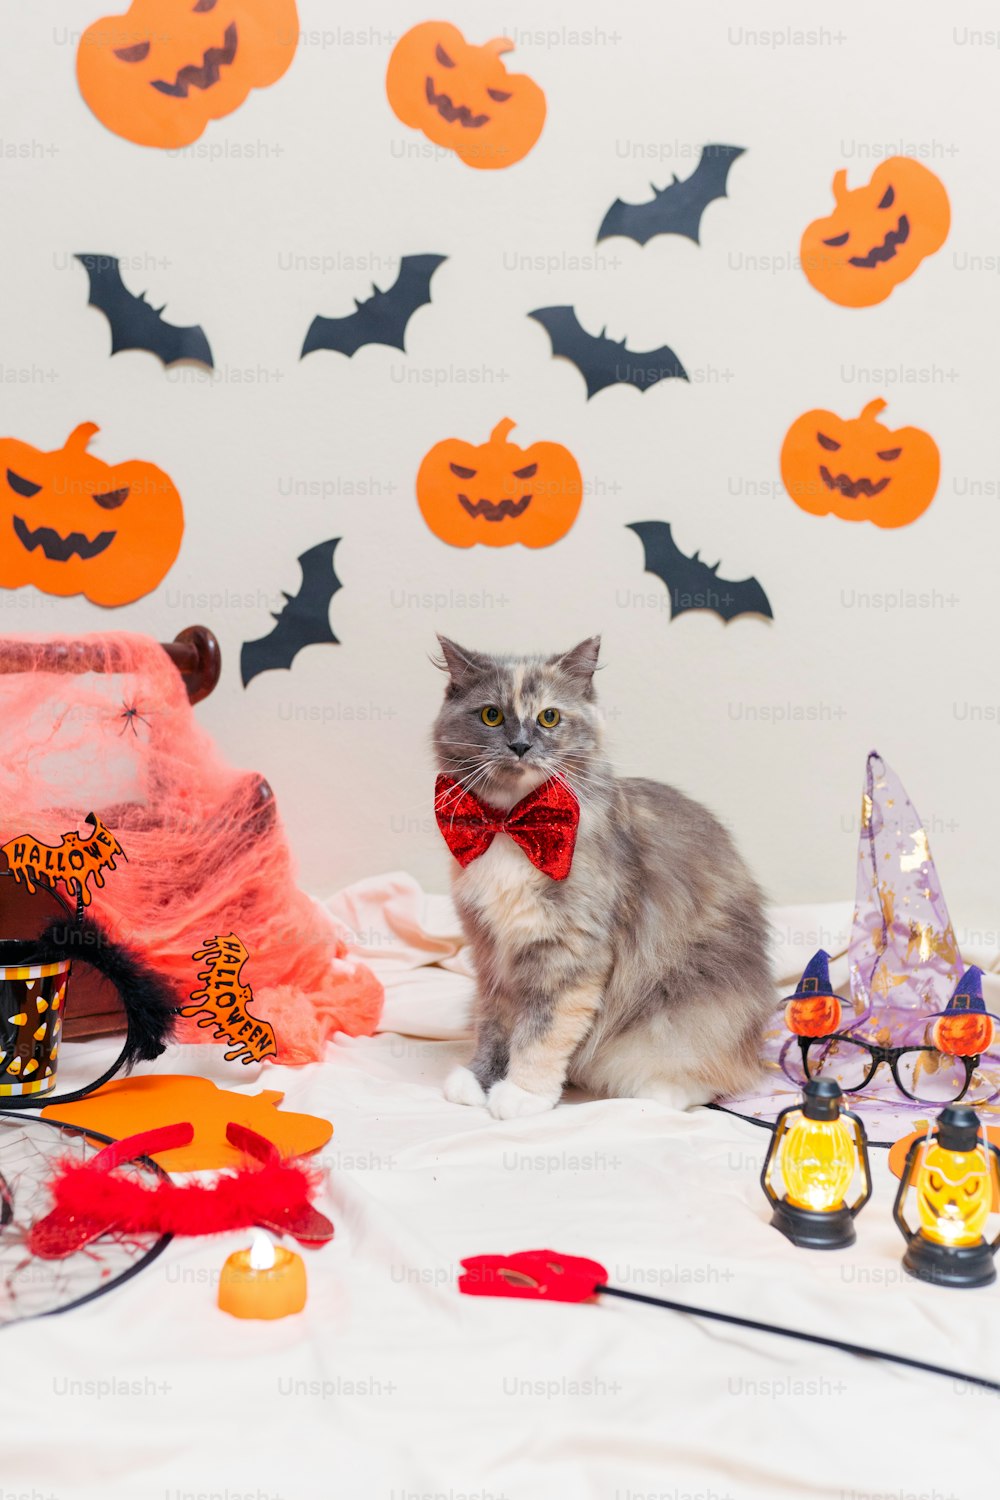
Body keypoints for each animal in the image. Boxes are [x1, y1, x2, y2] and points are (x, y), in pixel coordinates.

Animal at [431, 639, 773, 1122]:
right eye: (491, 716)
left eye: (549, 717)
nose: (520, 746)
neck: (511, 823)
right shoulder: (492, 953)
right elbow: (494, 1025)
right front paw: (481, 1082)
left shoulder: (569, 955)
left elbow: (540, 1034)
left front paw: (523, 1094)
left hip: (691, 1008)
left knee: (713, 1073)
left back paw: (660, 1093)